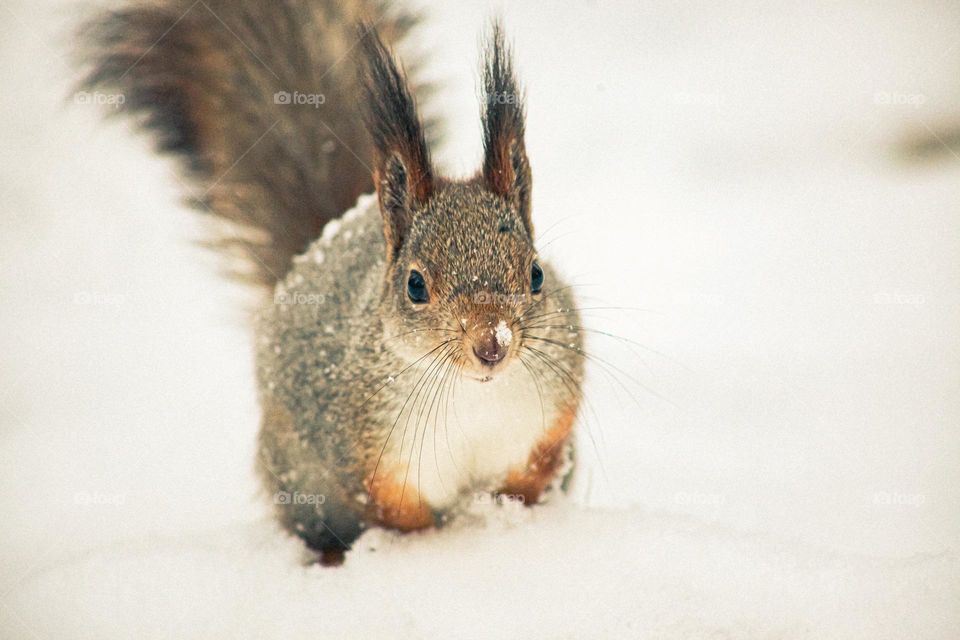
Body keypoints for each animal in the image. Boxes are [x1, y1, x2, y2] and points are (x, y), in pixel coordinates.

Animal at [80, 0, 585, 565]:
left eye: (536, 274)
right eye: (415, 285)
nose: (491, 344)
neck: (474, 395)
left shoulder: (551, 419)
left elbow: (532, 475)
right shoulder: (366, 456)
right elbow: (396, 511)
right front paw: (431, 548)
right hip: (295, 476)